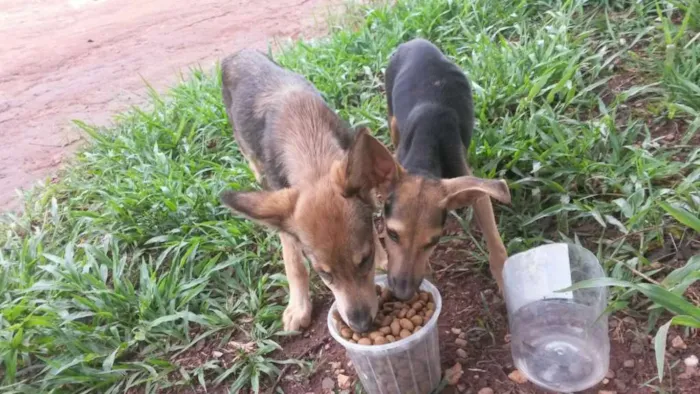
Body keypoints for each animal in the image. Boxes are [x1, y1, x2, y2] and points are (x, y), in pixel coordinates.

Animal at [220, 49, 394, 332]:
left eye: (364, 260)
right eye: (324, 274)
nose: (361, 325)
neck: (307, 137)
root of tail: (236, 53)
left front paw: (382, 259)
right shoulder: (284, 219)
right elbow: (295, 265)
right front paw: (299, 307)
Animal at [380, 39, 512, 298]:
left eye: (432, 242)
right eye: (392, 234)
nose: (402, 293)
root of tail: (416, 40)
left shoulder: (474, 188)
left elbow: (495, 242)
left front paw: (504, 279)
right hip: (392, 117)